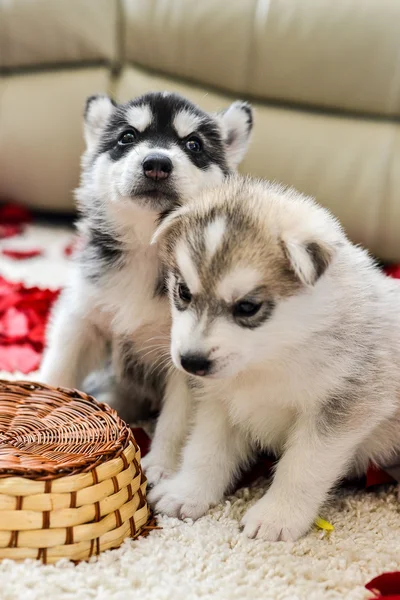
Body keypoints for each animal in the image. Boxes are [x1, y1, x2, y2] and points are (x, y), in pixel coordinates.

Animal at [40, 90, 253, 482]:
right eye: (127, 137)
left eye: (193, 144)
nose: (156, 163)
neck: (147, 248)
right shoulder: (82, 319)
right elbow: (58, 368)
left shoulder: (186, 358)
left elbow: (176, 420)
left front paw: (162, 466)